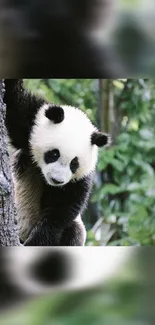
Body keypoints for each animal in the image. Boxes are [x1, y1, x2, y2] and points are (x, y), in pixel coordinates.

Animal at [3, 79, 110, 246]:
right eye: (54, 154)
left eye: (74, 163)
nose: (57, 180)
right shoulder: (30, 123)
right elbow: (13, 101)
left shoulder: (79, 180)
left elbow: (61, 211)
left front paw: (35, 242)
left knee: (74, 231)